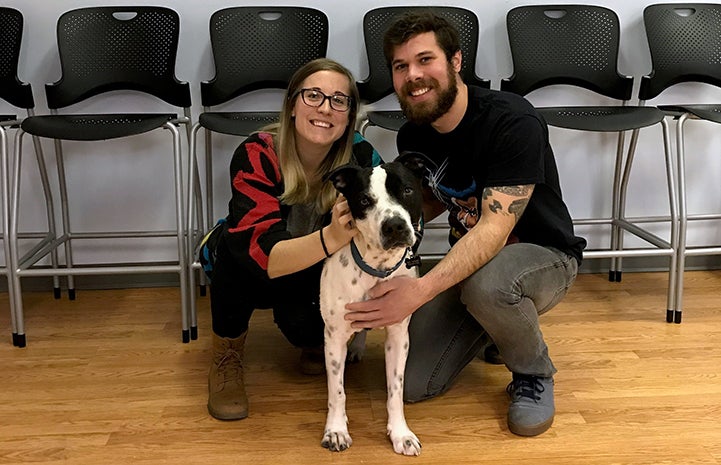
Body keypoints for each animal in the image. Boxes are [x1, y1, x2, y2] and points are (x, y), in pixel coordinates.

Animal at [320, 151, 428, 454]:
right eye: (365, 200)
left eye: (407, 190)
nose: (394, 226)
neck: (376, 267)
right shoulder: (333, 338)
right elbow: (337, 392)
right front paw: (336, 430)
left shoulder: (399, 337)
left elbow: (396, 390)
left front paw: (400, 433)